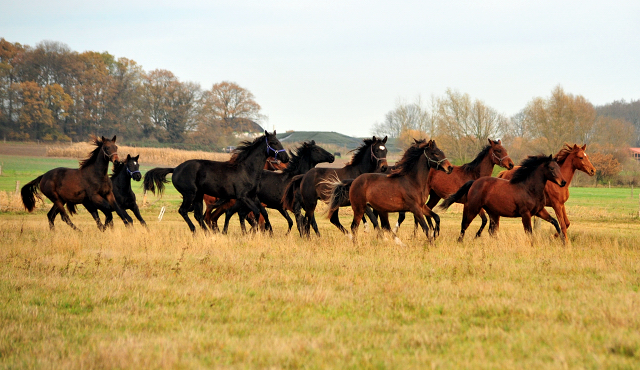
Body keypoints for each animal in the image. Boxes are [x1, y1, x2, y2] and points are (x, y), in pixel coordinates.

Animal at [143, 132, 290, 233]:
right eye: (274, 143)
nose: (286, 158)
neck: (246, 169)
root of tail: (175, 169)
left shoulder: (253, 197)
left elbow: (262, 213)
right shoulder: (243, 197)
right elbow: (255, 213)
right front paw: (252, 232)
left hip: (198, 196)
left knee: (199, 215)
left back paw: (207, 234)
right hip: (190, 194)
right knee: (184, 211)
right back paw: (195, 231)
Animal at [438, 155, 568, 241]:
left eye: (558, 167)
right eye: (551, 168)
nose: (563, 182)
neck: (529, 189)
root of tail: (474, 182)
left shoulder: (539, 211)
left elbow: (555, 222)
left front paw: (562, 240)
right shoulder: (525, 214)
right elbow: (529, 232)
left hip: (493, 213)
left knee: (491, 230)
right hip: (473, 208)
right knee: (465, 224)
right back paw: (460, 241)